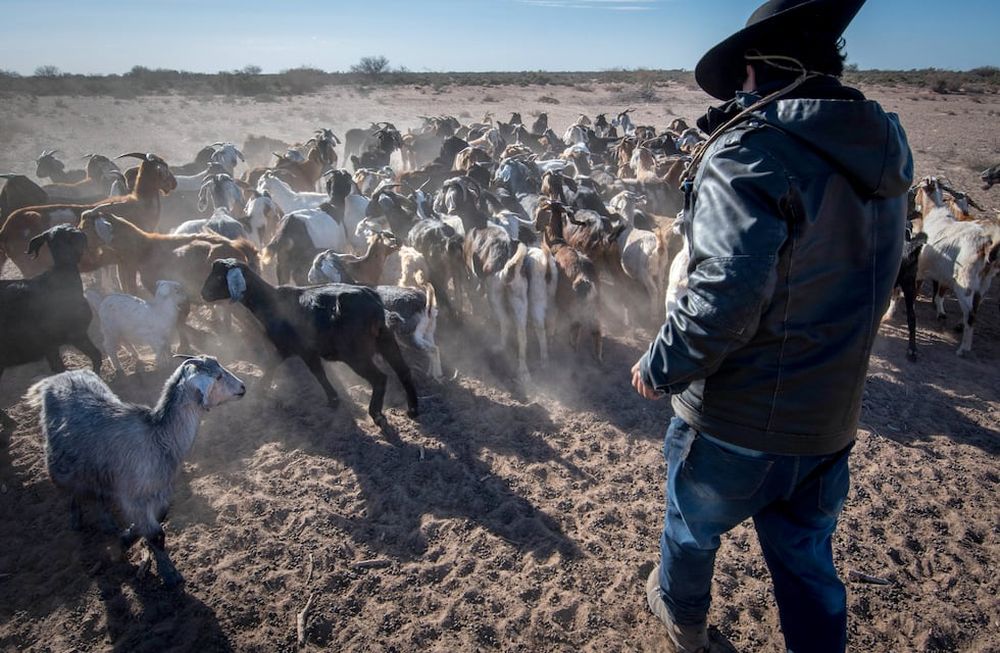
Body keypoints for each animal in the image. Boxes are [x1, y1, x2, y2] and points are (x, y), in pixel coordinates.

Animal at [28, 355, 245, 588]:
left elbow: (155, 525)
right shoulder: (133, 497)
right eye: (218, 377)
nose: (243, 387)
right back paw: (75, 517)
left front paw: (126, 537)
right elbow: (156, 534)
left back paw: (107, 521)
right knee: (73, 489)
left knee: (98, 493)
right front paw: (169, 574)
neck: (158, 437)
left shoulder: (160, 494)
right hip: (61, 462)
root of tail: (57, 377)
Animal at [201, 258, 418, 426]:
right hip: (386, 340)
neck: (270, 301)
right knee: (404, 371)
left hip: (355, 353)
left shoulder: (298, 349)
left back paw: (377, 414)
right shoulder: (300, 351)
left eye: (220, 277)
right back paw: (413, 409)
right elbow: (302, 370)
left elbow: (307, 371)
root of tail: (373, 304)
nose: (203, 294)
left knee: (380, 378)